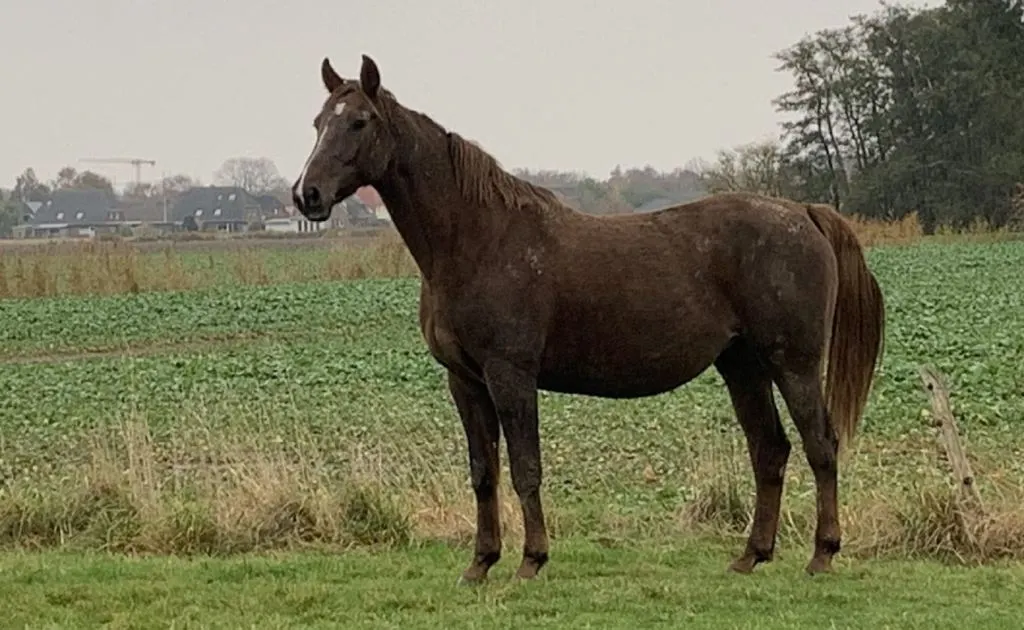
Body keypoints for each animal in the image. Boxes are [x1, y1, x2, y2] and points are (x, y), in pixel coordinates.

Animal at [291, 54, 886, 583]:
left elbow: (526, 468)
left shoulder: (511, 375)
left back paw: (822, 555)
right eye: (318, 122)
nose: (306, 195)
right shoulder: (465, 382)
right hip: (742, 365)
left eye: (359, 121)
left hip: (794, 363)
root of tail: (803, 212)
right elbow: (484, 473)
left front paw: (531, 562)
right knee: (770, 449)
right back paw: (751, 556)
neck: (476, 240)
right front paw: (481, 563)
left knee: (820, 446)